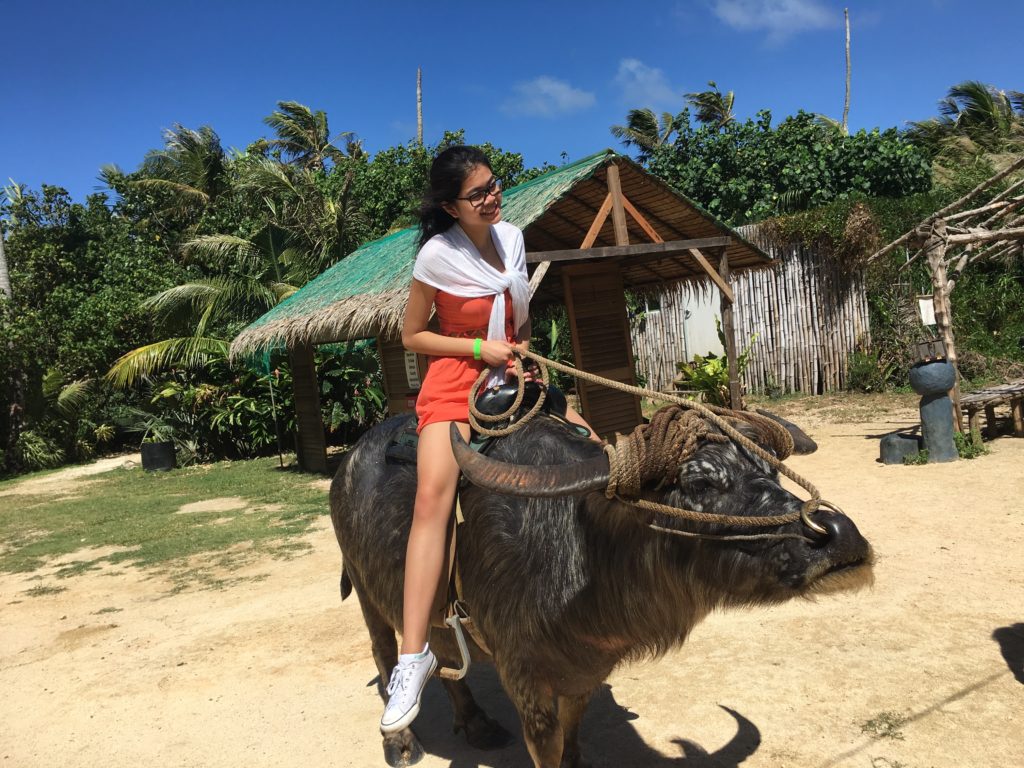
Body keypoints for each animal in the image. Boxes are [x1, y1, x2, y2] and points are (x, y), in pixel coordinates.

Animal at [331, 405, 876, 765]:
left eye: (771, 472)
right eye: (700, 483)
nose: (838, 534)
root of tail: (347, 463)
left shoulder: (583, 673)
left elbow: (574, 733)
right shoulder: (526, 680)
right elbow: (547, 746)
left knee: (445, 656)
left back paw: (478, 726)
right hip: (365, 591)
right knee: (387, 653)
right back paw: (401, 742)